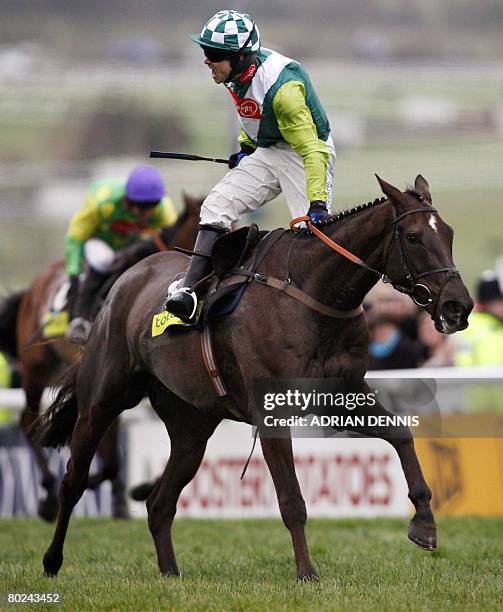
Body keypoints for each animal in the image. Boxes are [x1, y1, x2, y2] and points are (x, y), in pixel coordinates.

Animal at [38, 176, 472, 580]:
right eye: (414, 237)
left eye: (450, 234)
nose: (459, 306)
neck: (314, 294)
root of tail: (124, 281)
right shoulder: (272, 414)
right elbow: (292, 500)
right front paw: (307, 573)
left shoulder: (343, 396)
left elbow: (400, 434)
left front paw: (424, 523)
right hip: (102, 400)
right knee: (73, 482)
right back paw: (51, 559)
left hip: (192, 426)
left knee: (159, 503)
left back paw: (170, 573)